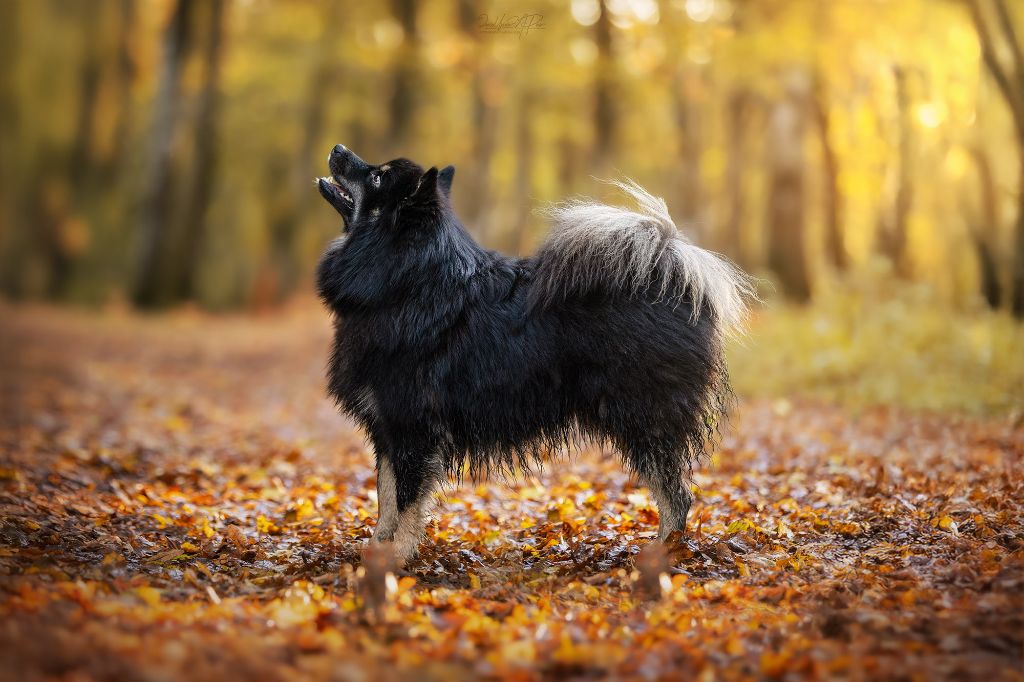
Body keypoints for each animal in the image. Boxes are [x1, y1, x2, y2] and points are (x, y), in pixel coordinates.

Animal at [311, 143, 753, 561]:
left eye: (378, 177)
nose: (337, 149)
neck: (406, 282)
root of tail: (674, 279)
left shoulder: (412, 428)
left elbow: (405, 503)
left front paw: (397, 559)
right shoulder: (387, 429)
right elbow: (385, 498)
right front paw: (376, 550)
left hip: (643, 418)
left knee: (676, 495)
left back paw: (663, 552)